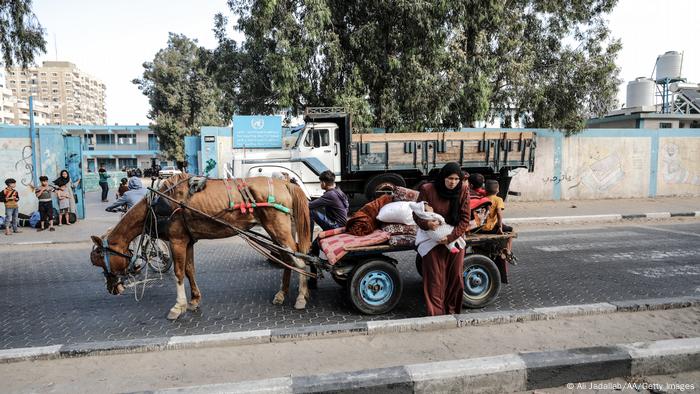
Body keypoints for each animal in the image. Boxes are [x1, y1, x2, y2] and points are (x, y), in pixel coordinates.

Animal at [88, 175, 312, 320]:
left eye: (100, 260)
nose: (112, 288)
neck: (157, 204)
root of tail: (285, 182)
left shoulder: (177, 240)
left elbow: (179, 273)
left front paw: (178, 306)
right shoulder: (188, 241)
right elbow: (189, 270)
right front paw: (194, 300)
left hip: (278, 228)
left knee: (299, 259)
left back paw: (301, 296)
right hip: (277, 230)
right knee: (288, 258)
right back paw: (282, 293)